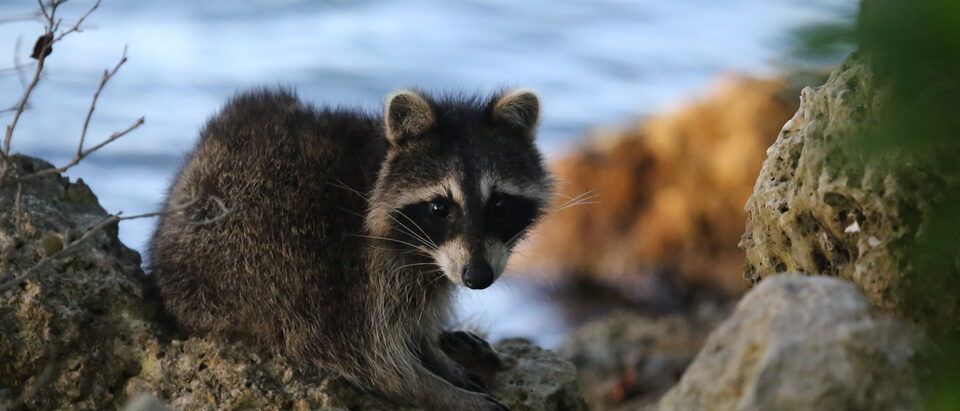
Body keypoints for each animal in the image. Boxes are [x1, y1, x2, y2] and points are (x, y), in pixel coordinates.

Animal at [148, 87, 553, 410]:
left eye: (499, 205)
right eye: (440, 207)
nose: (478, 277)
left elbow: (412, 325)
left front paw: (434, 351)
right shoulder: (344, 274)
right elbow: (371, 360)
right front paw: (438, 390)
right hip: (248, 250)